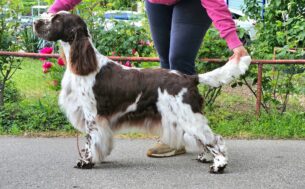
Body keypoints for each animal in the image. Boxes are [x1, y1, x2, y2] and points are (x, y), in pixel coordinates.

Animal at [34, 11, 251, 173]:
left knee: (214, 139)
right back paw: (205, 157)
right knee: (204, 139)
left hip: (189, 116)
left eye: (57, 19)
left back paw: (218, 165)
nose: (35, 22)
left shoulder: (92, 116)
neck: (86, 65)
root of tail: (190, 77)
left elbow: (89, 142)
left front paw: (85, 162)